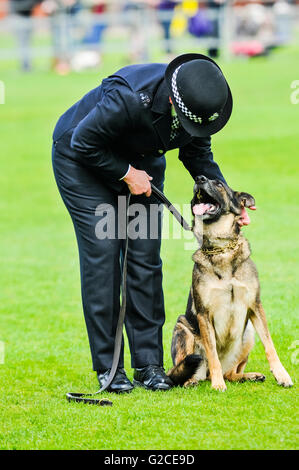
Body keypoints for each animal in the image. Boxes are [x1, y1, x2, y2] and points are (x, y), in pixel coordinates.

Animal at [168, 175, 294, 390]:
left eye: (219, 184)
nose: (199, 178)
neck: (221, 248)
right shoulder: (203, 314)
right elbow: (212, 354)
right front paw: (218, 385)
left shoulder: (255, 306)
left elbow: (270, 346)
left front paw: (282, 375)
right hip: (182, 328)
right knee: (190, 369)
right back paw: (194, 380)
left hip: (248, 334)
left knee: (231, 373)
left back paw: (248, 376)